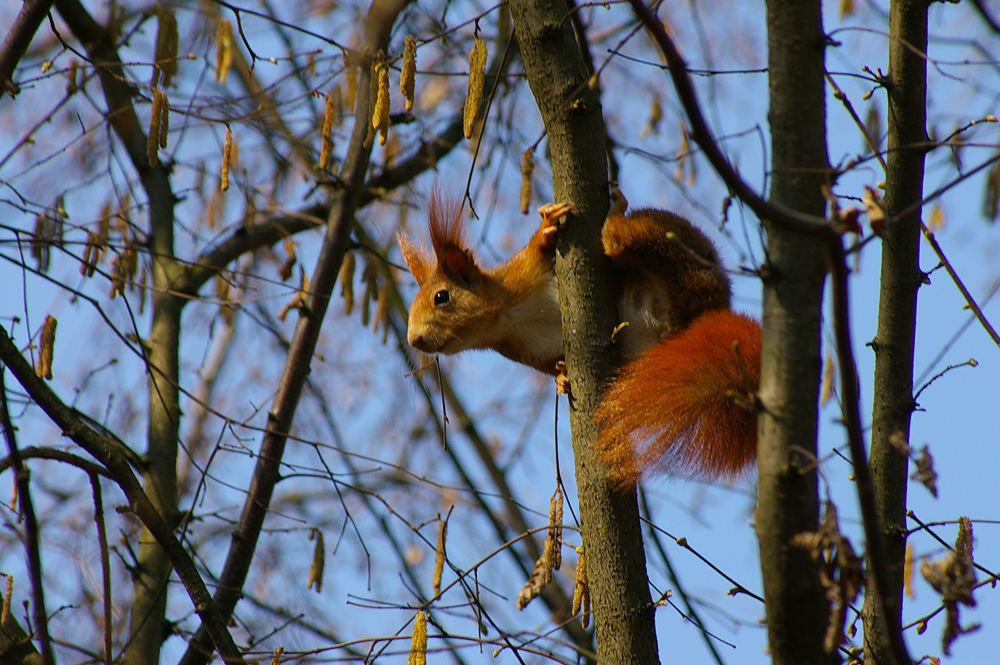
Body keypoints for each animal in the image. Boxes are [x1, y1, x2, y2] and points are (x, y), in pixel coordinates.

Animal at [394, 187, 760, 482]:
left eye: (442, 297)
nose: (413, 340)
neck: (505, 319)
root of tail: (707, 311)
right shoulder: (528, 349)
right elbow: (552, 364)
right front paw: (561, 378)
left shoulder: (520, 272)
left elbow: (538, 250)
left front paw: (547, 225)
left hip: (669, 246)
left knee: (621, 238)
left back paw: (615, 213)